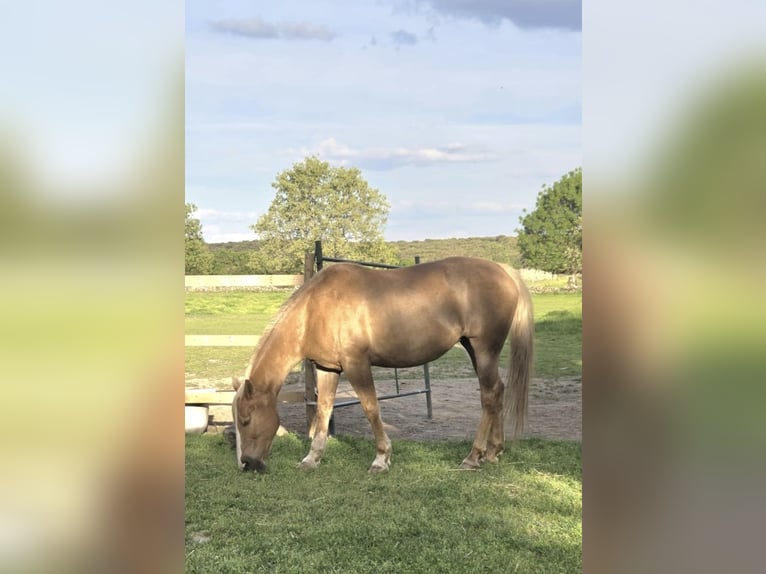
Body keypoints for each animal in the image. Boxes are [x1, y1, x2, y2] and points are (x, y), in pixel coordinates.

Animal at [232, 256, 534, 473]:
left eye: (246, 420)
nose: (246, 463)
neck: (316, 309)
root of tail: (503, 270)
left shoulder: (356, 365)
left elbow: (371, 408)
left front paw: (381, 458)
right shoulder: (328, 368)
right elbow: (323, 409)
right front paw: (312, 458)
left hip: (484, 350)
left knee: (490, 396)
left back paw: (473, 456)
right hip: (474, 349)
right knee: (497, 392)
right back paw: (493, 452)